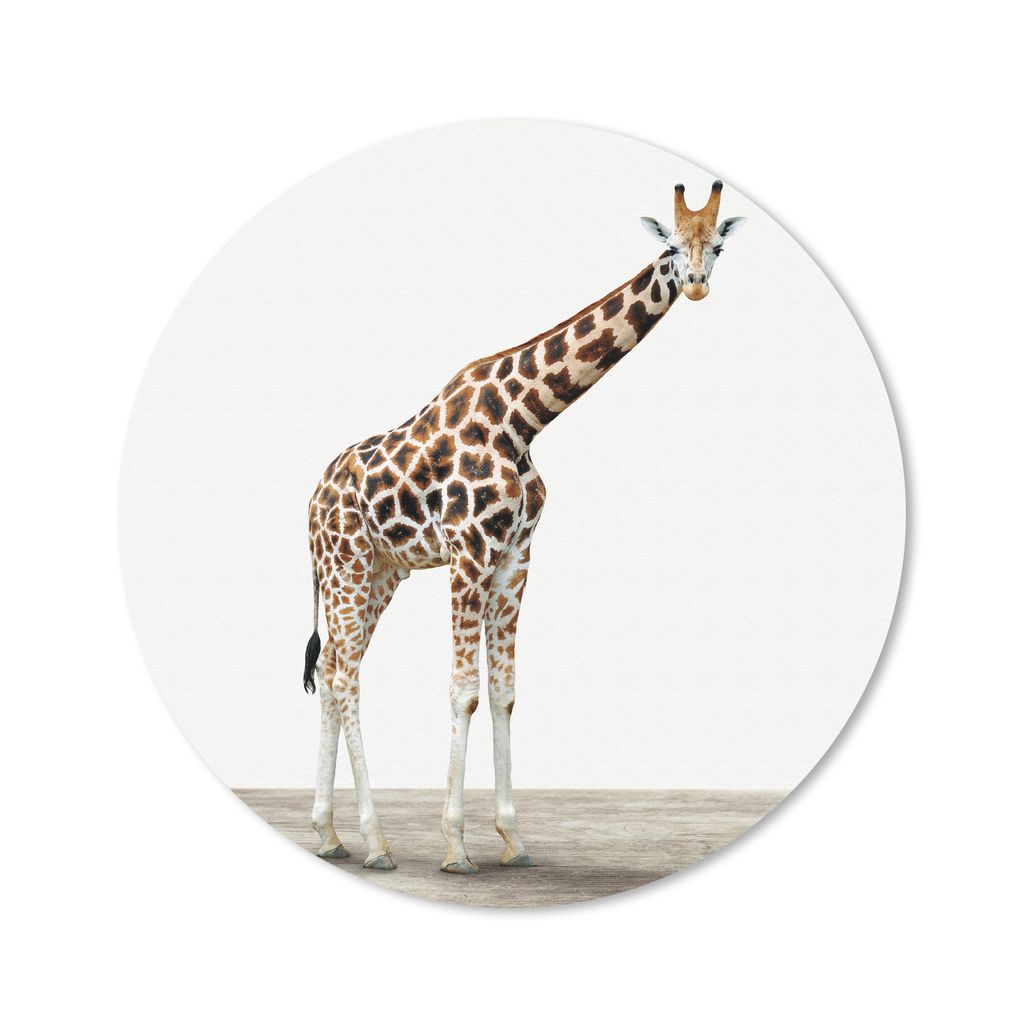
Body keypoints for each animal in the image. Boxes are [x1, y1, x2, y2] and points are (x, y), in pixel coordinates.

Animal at [304, 181, 745, 873]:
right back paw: (375, 842)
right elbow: (463, 691)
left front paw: (513, 839)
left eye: (718, 246)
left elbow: (505, 691)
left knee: (329, 670)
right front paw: (456, 846)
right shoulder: (468, 554)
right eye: (672, 246)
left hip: (380, 573)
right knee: (346, 675)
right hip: (345, 564)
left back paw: (329, 834)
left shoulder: (515, 557)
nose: (697, 284)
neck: (523, 418)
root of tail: (311, 500)